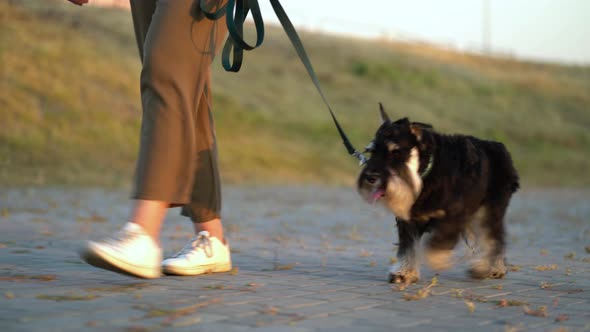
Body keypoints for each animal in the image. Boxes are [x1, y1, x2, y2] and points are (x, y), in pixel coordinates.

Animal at [358, 102, 520, 284]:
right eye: (371, 151)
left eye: (396, 152)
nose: (371, 177)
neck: (426, 173)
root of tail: (502, 149)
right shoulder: (408, 222)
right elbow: (408, 247)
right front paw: (404, 273)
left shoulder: (454, 215)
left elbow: (439, 243)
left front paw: (438, 260)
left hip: (488, 211)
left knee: (493, 237)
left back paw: (488, 268)